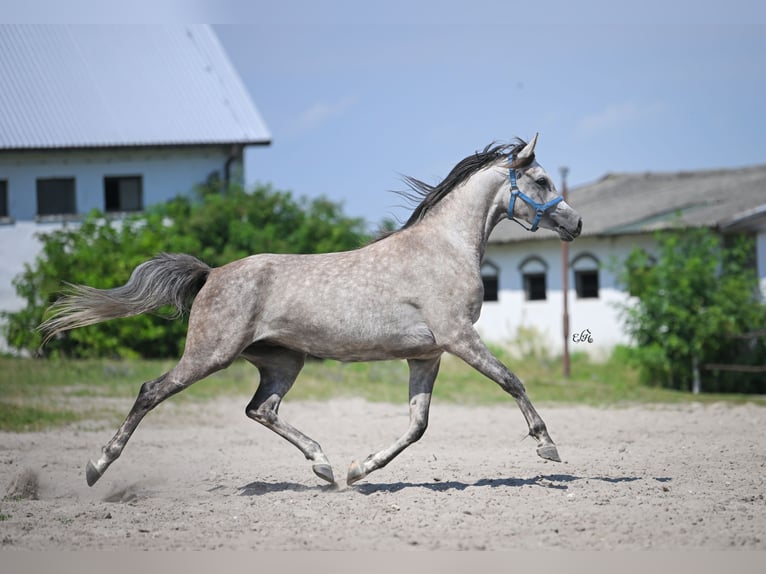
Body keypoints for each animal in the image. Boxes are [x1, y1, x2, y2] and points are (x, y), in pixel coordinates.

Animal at [39, 134, 584, 486]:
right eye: (540, 179)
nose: (575, 223)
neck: (444, 248)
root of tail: (211, 275)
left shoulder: (427, 355)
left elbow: (417, 425)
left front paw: (360, 469)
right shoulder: (459, 338)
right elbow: (511, 380)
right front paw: (547, 445)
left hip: (283, 360)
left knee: (260, 408)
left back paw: (323, 464)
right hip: (209, 355)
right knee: (151, 392)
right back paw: (96, 467)